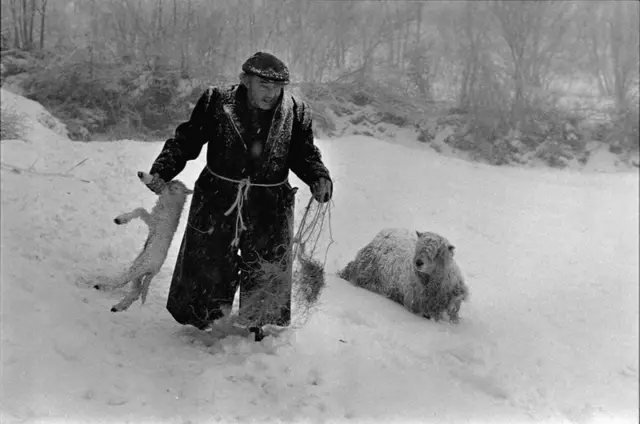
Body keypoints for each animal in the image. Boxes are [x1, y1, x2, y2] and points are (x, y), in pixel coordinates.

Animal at [92, 171, 192, 314]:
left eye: (173, 186)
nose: (164, 182)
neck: (172, 203)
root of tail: (155, 270)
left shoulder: (154, 222)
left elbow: (140, 210)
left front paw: (120, 219)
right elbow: (140, 209)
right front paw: (120, 219)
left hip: (139, 267)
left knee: (124, 282)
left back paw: (102, 286)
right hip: (139, 271)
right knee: (136, 291)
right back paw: (118, 307)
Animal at [338, 229, 468, 322]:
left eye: (436, 253)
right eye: (418, 248)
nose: (418, 262)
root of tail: (381, 233)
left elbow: (454, 314)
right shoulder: (416, 305)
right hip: (364, 271)